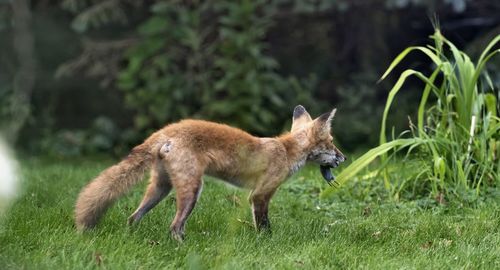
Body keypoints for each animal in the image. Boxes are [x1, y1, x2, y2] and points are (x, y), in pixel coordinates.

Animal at [75, 105, 344, 240]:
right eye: (332, 143)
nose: (344, 158)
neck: (286, 151)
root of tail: (166, 130)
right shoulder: (260, 194)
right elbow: (263, 224)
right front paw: (267, 243)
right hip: (193, 189)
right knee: (174, 227)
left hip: (161, 188)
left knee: (133, 218)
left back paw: (132, 237)